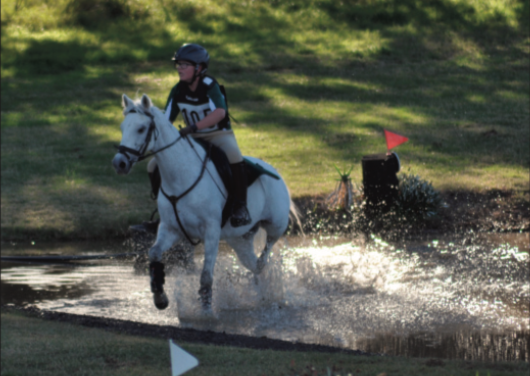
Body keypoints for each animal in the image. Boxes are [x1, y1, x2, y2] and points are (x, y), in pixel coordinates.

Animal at [111, 94, 296, 312]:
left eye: (141, 129)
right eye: (123, 127)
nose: (119, 163)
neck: (180, 176)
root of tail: (275, 171)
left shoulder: (211, 231)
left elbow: (206, 275)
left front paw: (205, 311)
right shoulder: (172, 229)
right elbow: (154, 253)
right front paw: (160, 296)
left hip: (276, 225)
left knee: (265, 254)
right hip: (239, 238)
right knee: (255, 264)